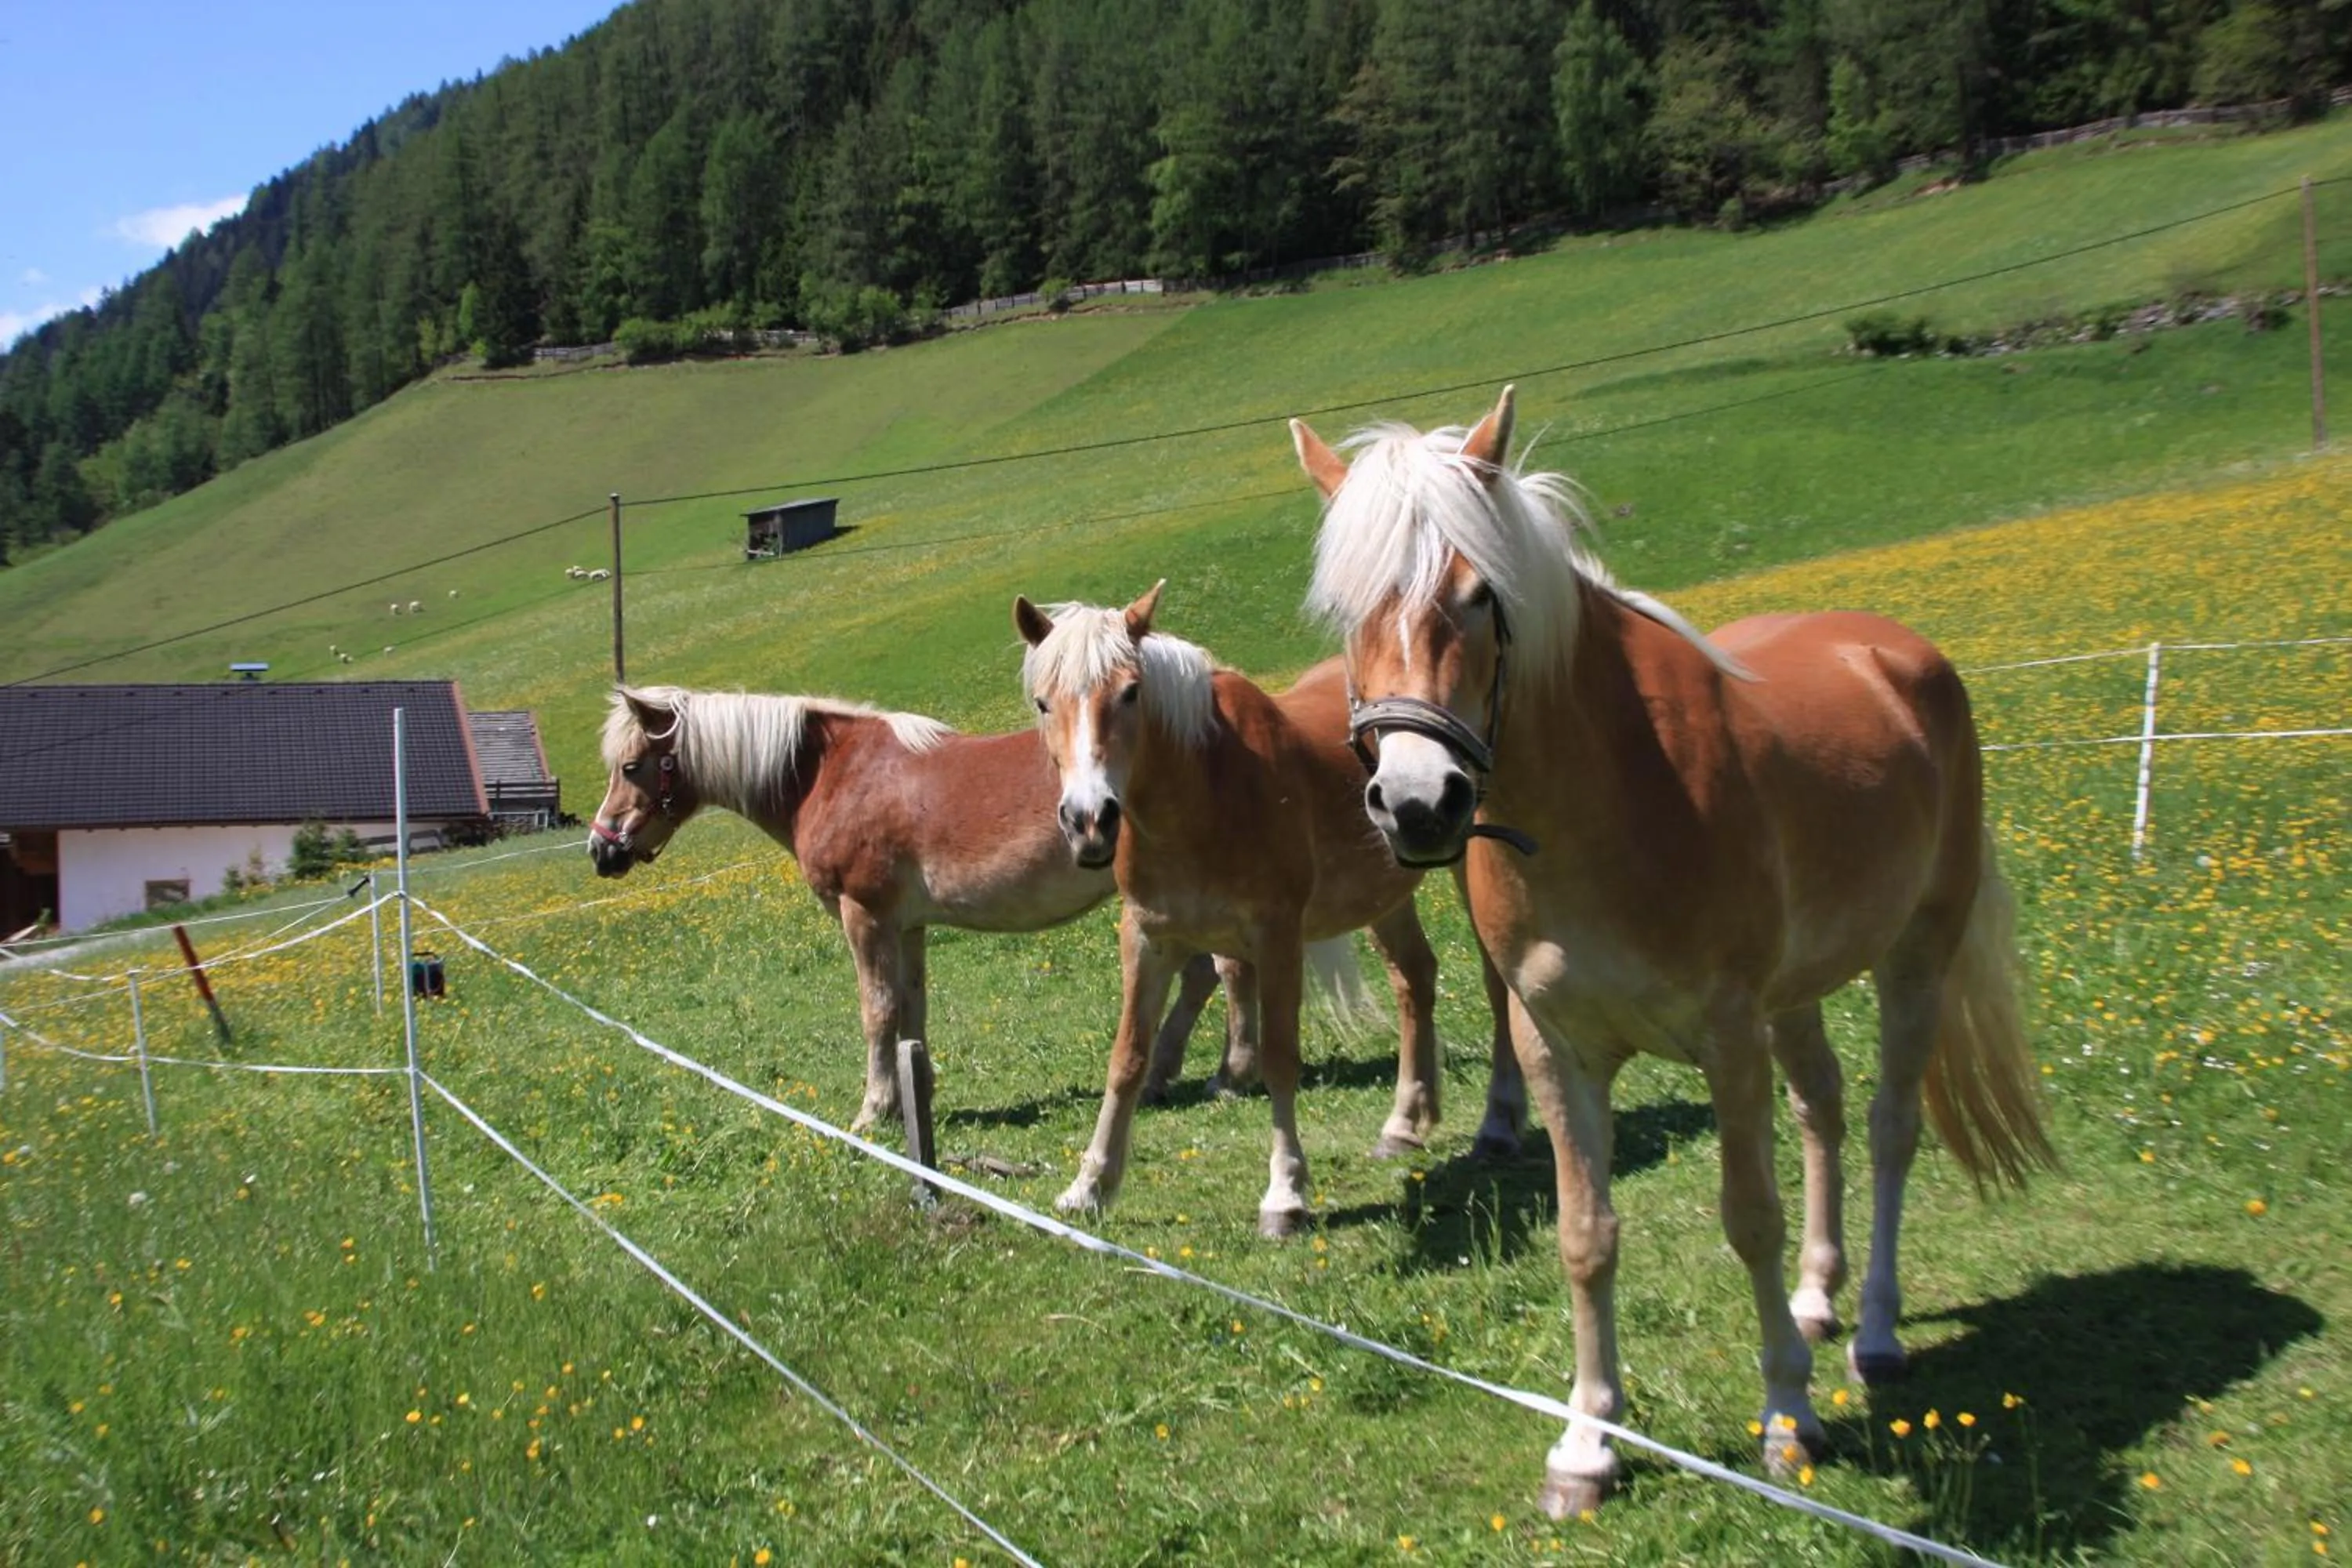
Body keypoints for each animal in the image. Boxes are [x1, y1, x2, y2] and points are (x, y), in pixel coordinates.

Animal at [1013, 592, 1527, 1237]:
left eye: (1131, 692)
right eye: (1043, 702)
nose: (1089, 821)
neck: (1205, 793)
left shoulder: (1278, 935)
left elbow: (1280, 1059)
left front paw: (1285, 1194)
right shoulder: (1146, 938)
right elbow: (1127, 1058)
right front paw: (1089, 1187)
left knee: (1496, 984)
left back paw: (1500, 1125)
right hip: (1385, 894)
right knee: (1415, 979)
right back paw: (1406, 1123)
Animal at [1289, 384, 2054, 1514]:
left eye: (1477, 595)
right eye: (1347, 612)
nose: (1420, 804)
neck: (1607, 795)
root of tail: (1898, 651)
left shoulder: (1729, 1036)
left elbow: (1749, 1217)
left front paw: (1787, 1418)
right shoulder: (1559, 1047)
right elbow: (1586, 1235)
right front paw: (1587, 1443)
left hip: (1915, 958)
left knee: (1887, 1129)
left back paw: (1870, 1331)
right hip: (1797, 995)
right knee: (1823, 1108)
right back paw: (1819, 1296)